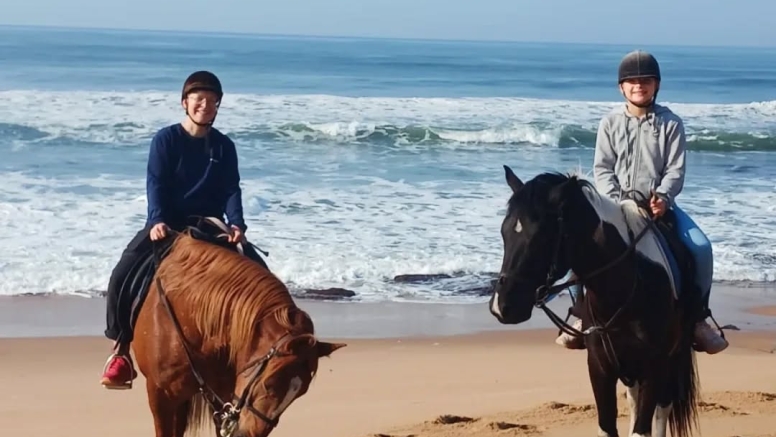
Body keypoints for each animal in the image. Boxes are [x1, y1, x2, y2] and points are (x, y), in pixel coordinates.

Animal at [488, 166, 700, 437]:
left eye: (540, 237)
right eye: (504, 232)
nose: (502, 306)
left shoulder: (655, 367)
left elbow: (643, 427)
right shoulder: (600, 368)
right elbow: (608, 426)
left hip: (675, 355)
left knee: (664, 406)